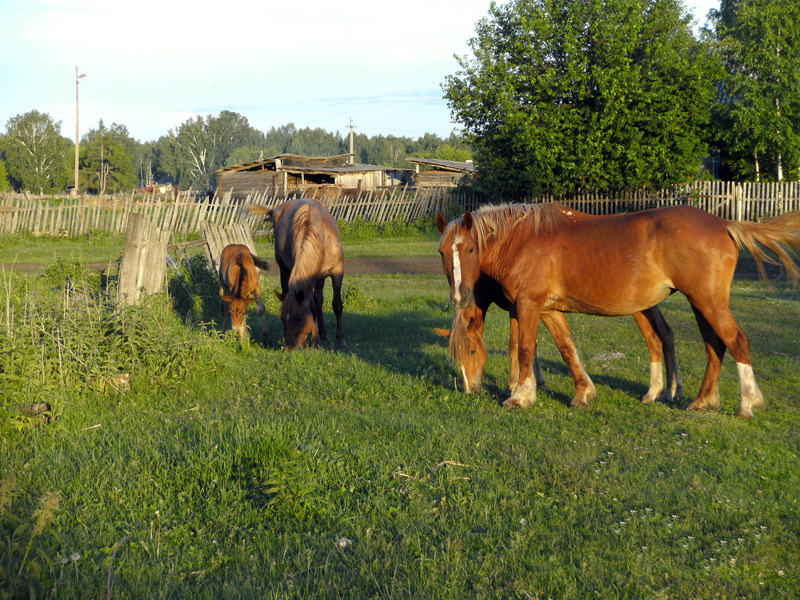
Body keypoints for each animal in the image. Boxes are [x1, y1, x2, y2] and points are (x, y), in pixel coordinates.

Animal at [250, 199, 344, 350]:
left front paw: (340, 340)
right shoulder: (306, 279)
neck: (319, 238)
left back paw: (324, 334)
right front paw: (315, 342)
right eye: (282, 318)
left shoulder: (337, 272)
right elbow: (313, 309)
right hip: (284, 269)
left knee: (319, 299)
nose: (289, 348)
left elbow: (337, 305)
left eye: (299, 318)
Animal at [434, 270, 684, 404]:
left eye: (473, 351)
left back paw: (663, 391)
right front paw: (536, 382)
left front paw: (511, 387)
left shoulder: (518, 307)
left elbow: (515, 346)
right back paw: (672, 390)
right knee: (667, 334)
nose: (470, 391)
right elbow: (532, 345)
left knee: (659, 337)